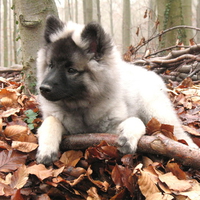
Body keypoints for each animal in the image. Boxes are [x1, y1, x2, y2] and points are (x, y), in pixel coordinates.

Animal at [35, 15, 197, 166]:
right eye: (51, 65)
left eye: (71, 70)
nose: (43, 88)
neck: (81, 107)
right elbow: (50, 121)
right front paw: (46, 149)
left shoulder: (110, 130)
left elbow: (137, 121)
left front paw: (128, 136)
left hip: (156, 111)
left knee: (178, 133)